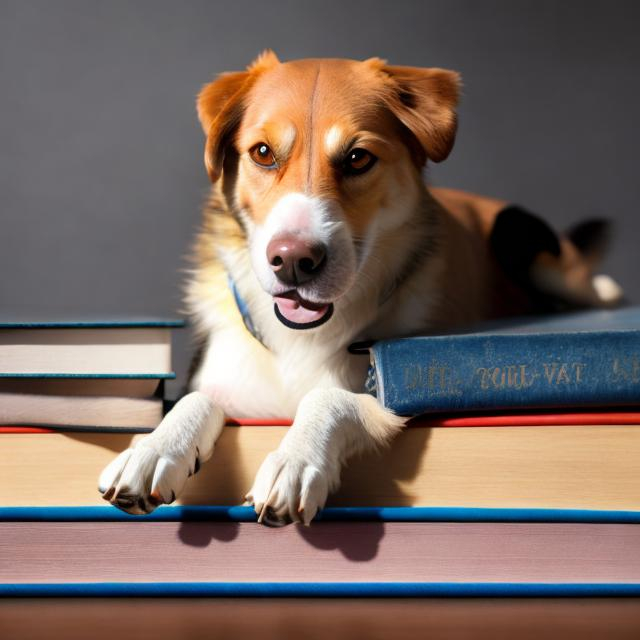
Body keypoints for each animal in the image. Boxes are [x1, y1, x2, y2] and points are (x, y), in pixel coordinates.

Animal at [97, 52, 624, 524]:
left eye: (357, 158)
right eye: (262, 153)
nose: (294, 261)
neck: (302, 341)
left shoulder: (397, 394)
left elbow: (332, 398)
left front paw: (295, 460)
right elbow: (195, 398)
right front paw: (154, 448)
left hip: (528, 241)